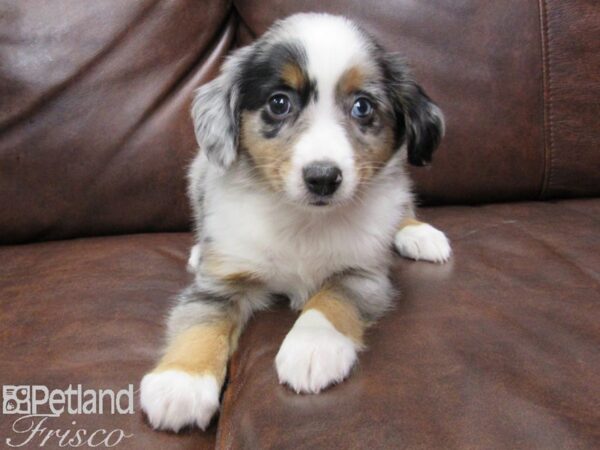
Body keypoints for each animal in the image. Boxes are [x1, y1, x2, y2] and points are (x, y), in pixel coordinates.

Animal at [139, 12, 450, 430]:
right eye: (279, 102)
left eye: (363, 107)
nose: (323, 178)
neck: (303, 220)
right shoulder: (223, 281)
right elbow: (200, 320)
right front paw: (181, 381)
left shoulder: (364, 273)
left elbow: (331, 299)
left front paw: (312, 347)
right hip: (197, 172)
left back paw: (419, 233)